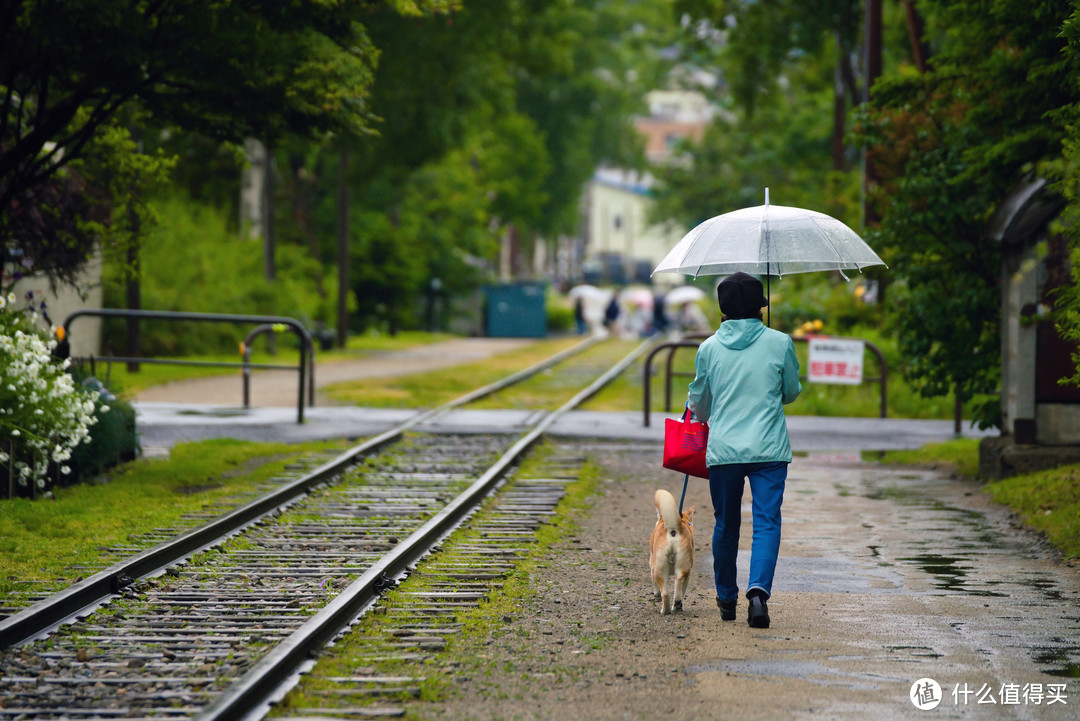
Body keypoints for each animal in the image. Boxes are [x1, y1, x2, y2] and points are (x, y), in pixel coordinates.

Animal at [648, 483, 691, 613]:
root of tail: (673, 529)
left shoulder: (652, 565)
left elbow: (655, 585)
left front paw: (656, 594)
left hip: (660, 569)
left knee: (665, 593)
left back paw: (665, 610)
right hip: (683, 567)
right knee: (678, 582)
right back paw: (676, 605)